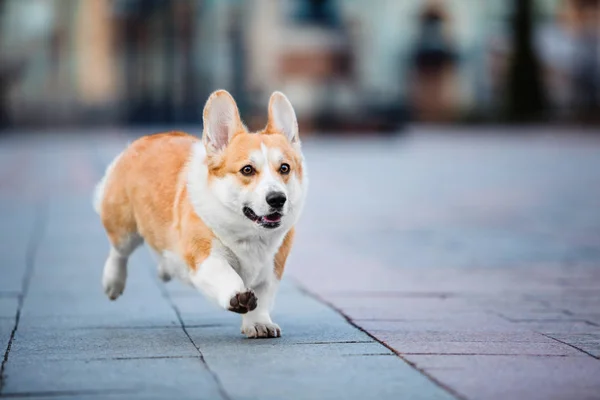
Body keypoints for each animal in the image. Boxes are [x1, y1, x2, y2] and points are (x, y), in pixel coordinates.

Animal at [95, 90, 310, 338]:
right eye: (247, 170)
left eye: (284, 168)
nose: (277, 198)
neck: (249, 233)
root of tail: (144, 139)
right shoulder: (205, 254)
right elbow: (224, 273)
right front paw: (237, 295)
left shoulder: (272, 267)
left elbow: (263, 296)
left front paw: (258, 323)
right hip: (124, 227)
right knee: (118, 252)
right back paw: (113, 282)